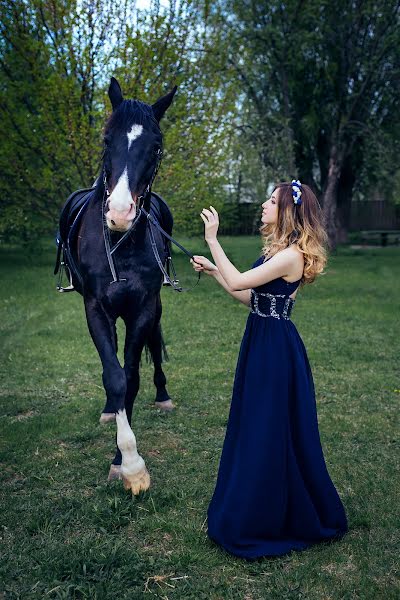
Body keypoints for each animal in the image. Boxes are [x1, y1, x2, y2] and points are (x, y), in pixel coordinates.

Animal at [57, 77, 178, 494]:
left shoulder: (144, 306)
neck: (120, 242)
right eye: (107, 139)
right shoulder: (96, 309)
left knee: (153, 347)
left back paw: (163, 395)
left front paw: (127, 463)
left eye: (156, 146)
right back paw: (112, 411)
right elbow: (115, 377)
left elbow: (132, 377)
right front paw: (128, 463)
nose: (121, 213)